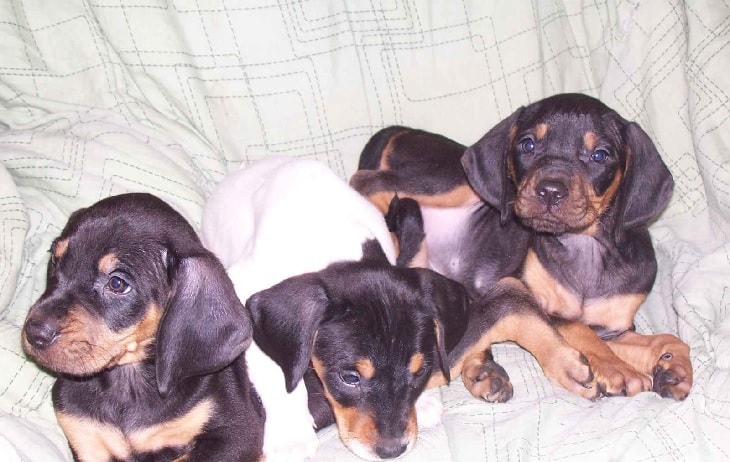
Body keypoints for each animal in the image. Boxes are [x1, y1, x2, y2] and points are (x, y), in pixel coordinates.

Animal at [19, 193, 264, 460]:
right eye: (55, 259)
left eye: (117, 283)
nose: (34, 333)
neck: (129, 379)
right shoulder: (85, 435)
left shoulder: (238, 432)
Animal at [350, 93, 692, 400]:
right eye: (528, 145)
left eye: (600, 155)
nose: (550, 190)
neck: (585, 247)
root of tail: (396, 130)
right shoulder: (537, 300)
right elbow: (577, 329)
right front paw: (615, 367)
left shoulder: (614, 327)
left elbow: (668, 338)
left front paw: (674, 368)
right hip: (459, 182)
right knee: (367, 181)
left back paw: (483, 370)